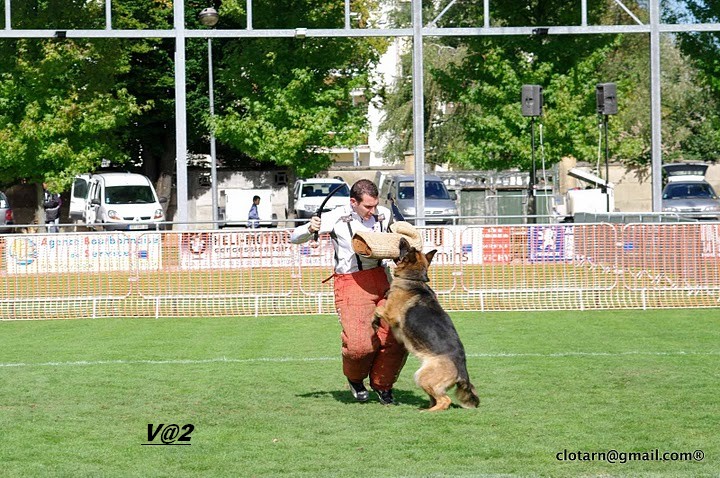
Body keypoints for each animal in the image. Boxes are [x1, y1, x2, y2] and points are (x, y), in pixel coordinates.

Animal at [374, 238, 480, 410]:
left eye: (407, 248)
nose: (402, 238)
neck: (414, 279)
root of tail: (462, 370)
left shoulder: (390, 314)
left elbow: (377, 309)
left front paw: (374, 322)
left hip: (422, 376)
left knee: (445, 401)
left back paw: (428, 411)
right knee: (436, 398)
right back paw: (426, 407)